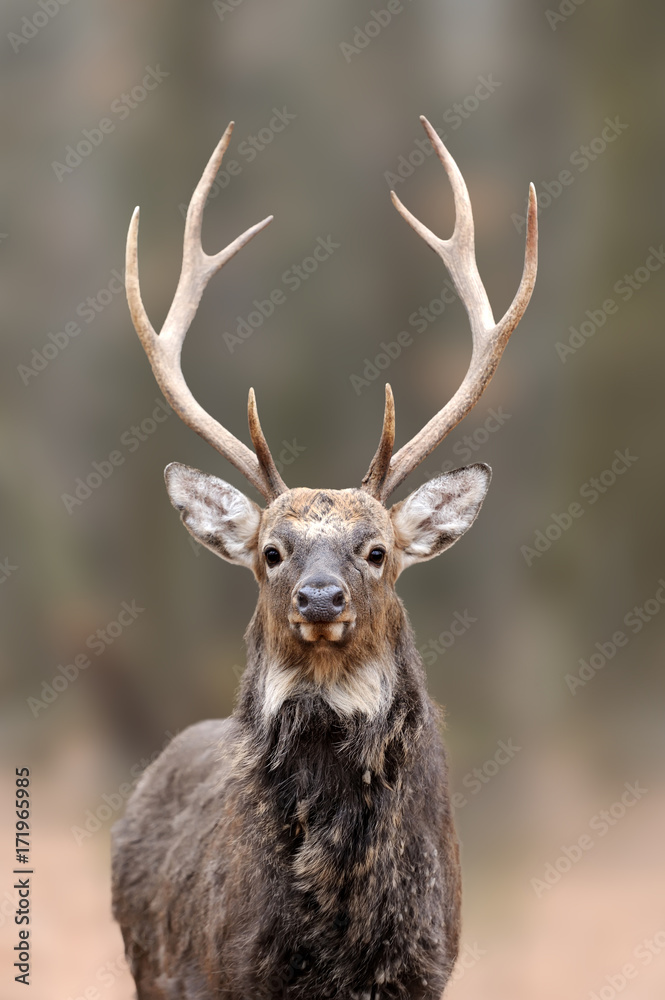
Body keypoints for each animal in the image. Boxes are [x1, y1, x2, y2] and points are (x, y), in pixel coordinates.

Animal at [111, 119, 536, 1000]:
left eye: (376, 550)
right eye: (271, 551)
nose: (317, 598)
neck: (341, 929)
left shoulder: (428, 966)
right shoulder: (230, 969)